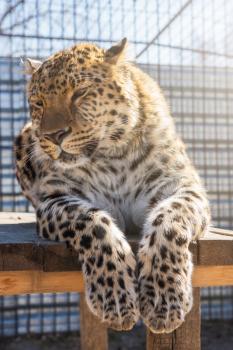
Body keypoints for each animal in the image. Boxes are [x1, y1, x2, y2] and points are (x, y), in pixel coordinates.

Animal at [14, 39, 211, 334]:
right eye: (38, 103)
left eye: (80, 93)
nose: (52, 136)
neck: (112, 156)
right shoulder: (56, 198)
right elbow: (92, 223)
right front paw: (115, 300)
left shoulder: (182, 186)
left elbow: (169, 220)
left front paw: (164, 298)